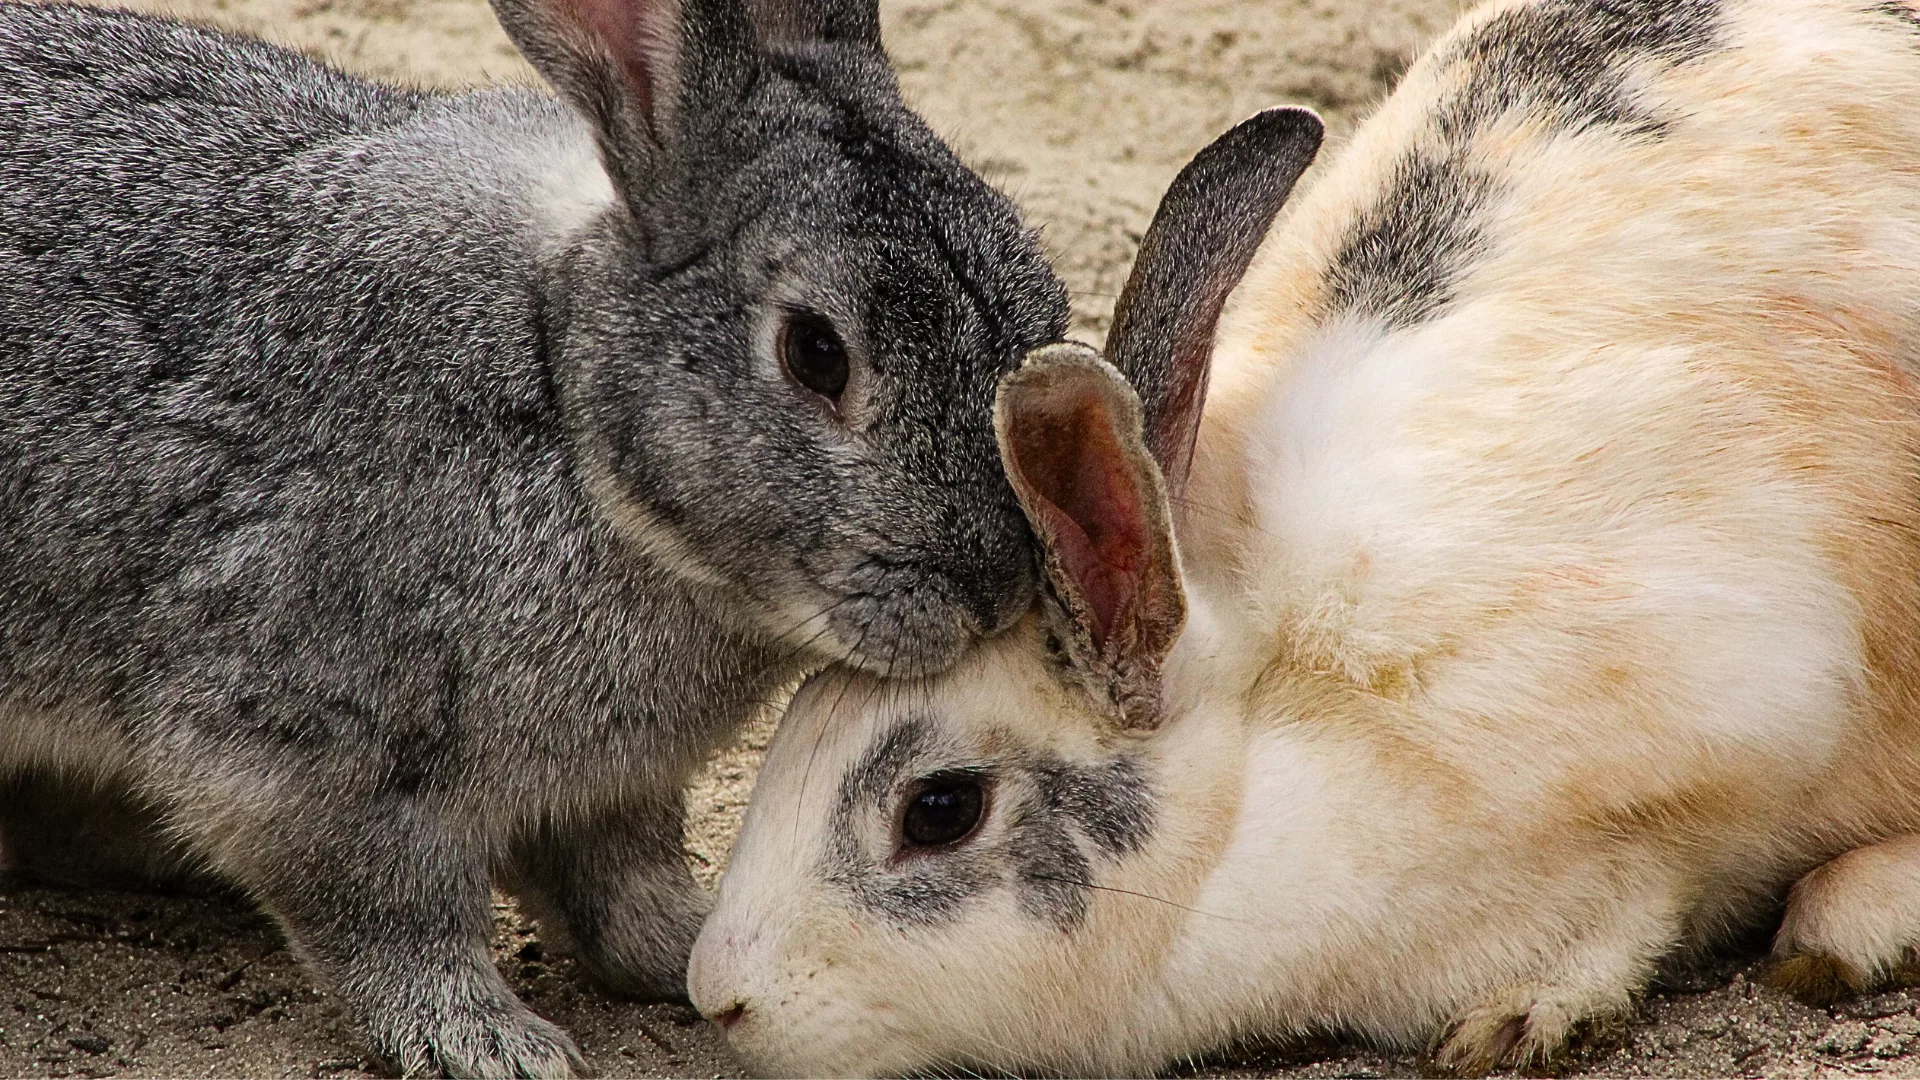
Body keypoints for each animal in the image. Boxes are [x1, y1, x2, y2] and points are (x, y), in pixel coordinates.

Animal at [0, 0, 1067, 1068]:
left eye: (1044, 300)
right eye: (816, 353)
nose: (995, 591)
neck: (559, 393)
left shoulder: (608, 792)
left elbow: (618, 892)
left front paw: (686, 952)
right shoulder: (309, 746)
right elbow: (386, 916)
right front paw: (489, 1043)